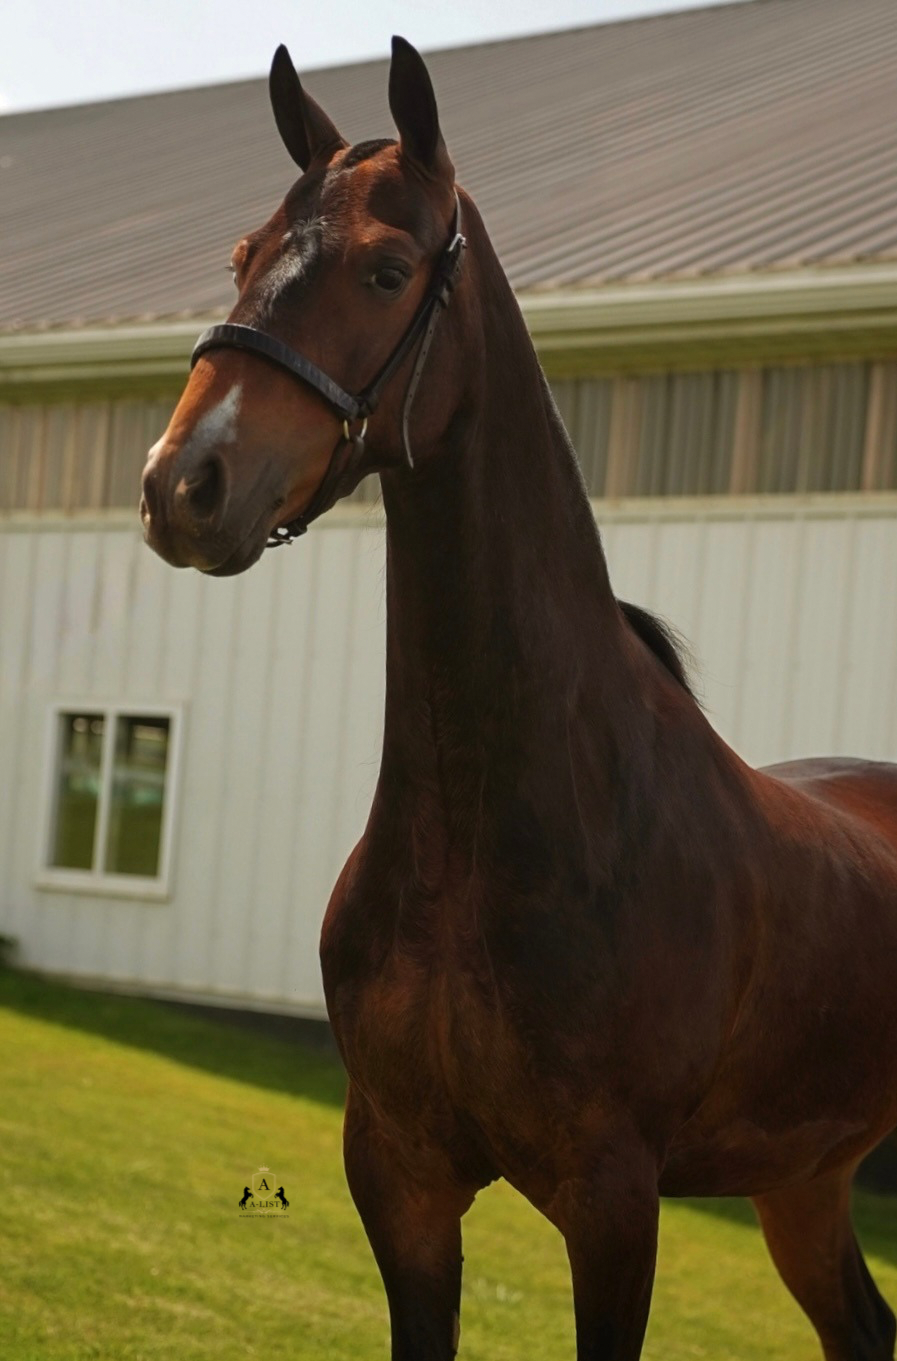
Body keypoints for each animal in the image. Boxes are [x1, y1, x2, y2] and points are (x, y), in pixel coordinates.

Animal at [140, 37, 897, 1361]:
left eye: (388, 269)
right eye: (244, 254)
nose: (186, 484)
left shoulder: (615, 1202)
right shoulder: (400, 1175)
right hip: (802, 1178)